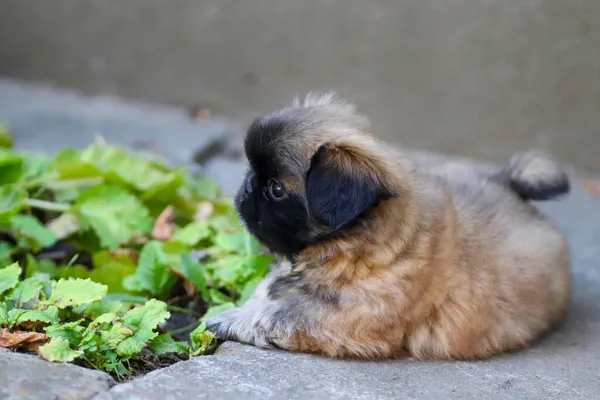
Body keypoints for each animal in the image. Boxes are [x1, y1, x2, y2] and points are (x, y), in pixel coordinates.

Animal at [206, 93, 572, 360]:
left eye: (276, 189)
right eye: (253, 173)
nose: (247, 187)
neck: (354, 248)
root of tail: (510, 187)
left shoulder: (345, 317)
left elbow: (277, 314)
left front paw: (230, 318)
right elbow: (268, 290)